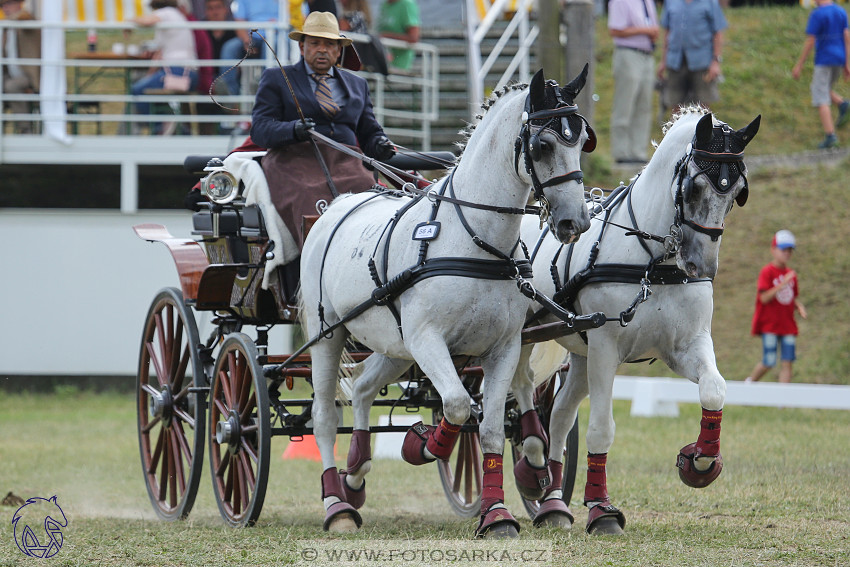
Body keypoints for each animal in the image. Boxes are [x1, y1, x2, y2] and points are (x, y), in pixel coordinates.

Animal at [302, 69, 592, 540]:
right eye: (543, 145)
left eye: (583, 140)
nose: (575, 222)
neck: (474, 238)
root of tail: (336, 204)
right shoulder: (428, 340)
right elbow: (457, 404)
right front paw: (421, 445)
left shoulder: (503, 347)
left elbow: (489, 428)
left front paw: (496, 514)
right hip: (328, 336)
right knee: (324, 416)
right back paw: (336, 504)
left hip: (394, 345)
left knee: (363, 387)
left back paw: (355, 475)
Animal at [506, 107, 760, 536]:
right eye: (695, 187)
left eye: (737, 193)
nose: (702, 267)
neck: (653, 263)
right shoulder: (607, 348)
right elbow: (602, 428)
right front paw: (602, 509)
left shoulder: (686, 345)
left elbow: (714, 390)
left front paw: (699, 461)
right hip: (525, 338)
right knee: (522, 389)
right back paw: (533, 464)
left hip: (581, 353)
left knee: (559, 415)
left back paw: (554, 501)